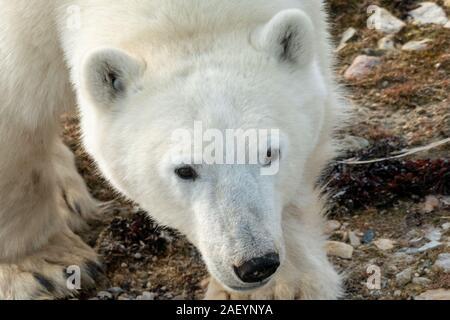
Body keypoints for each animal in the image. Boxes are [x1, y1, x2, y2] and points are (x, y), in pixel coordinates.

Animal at [0, 0, 344, 300]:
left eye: (269, 153)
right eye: (185, 170)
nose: (255, 264)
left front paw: (286, 285)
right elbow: (15, 117)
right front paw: (42, 266)